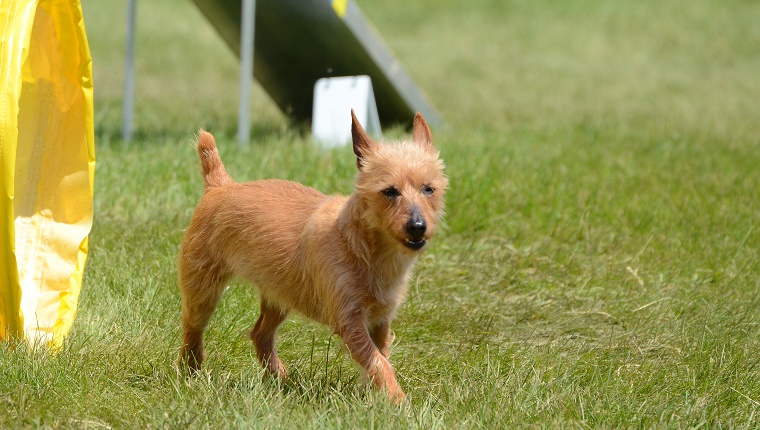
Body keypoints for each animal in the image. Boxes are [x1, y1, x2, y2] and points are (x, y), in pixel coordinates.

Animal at [177, 109, 446, 402]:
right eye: (389, 191)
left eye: (429, 189)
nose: (418, 226)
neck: (365, 247)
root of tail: (220, 186)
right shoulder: (350, 321)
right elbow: (378, 361)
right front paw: (399, 401)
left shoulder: (380, 320)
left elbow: (380, 357)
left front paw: (374, 397)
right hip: (203, 289)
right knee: (193, 328)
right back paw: (190, 371)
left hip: (279, 294)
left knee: (260, 334)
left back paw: (281, 379)